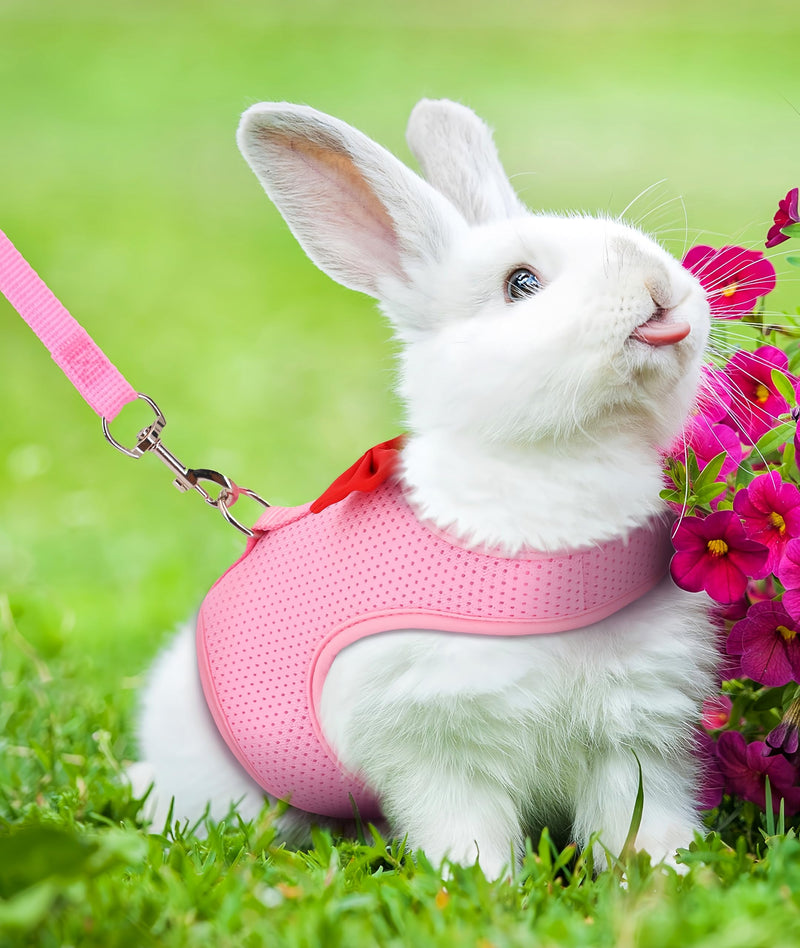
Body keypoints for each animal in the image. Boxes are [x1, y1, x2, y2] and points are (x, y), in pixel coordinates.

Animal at [131, 98, 718, 880]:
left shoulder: (636, 732)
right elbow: (465, 828)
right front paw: (485, 886)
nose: (660, 284)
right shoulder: (435, 743)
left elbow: (639, 821)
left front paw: (671, 875)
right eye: (521, 283)